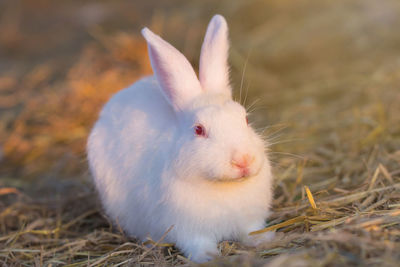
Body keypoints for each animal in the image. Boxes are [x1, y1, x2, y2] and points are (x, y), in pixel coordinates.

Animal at [86, 15, 276, 264]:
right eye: (198, 130)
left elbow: (252, 231)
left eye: (245, 119)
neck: (222, 186)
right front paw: (208, 257)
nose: (243, 160)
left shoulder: (250, 219)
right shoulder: (189, 230)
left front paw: (265, 240)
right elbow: (198, 244)